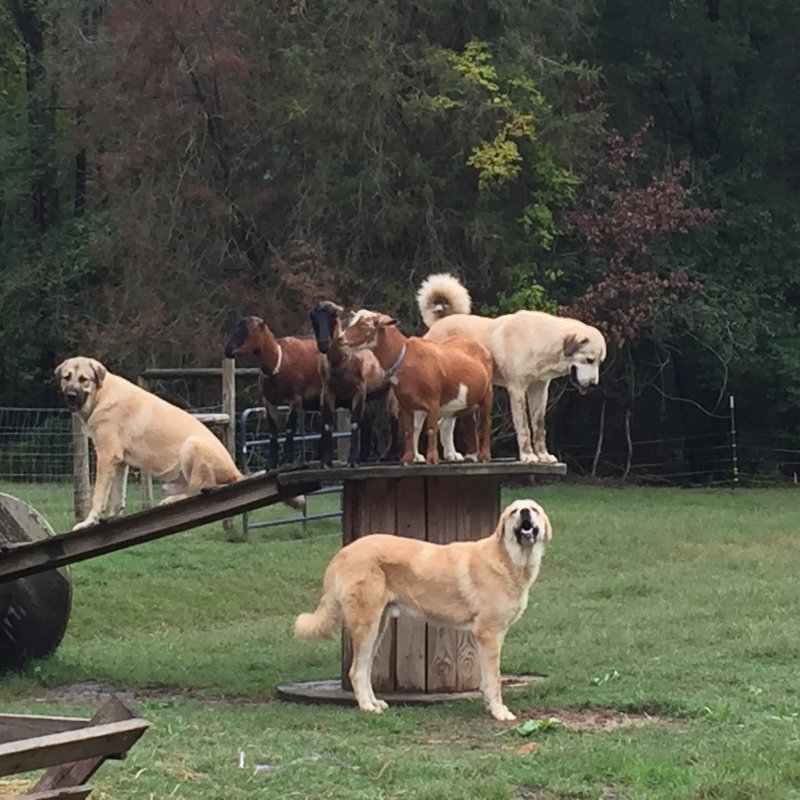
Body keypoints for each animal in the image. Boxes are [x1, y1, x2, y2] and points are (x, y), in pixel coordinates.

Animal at [55, 356, 242, 532]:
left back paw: (172, 500)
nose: (71, 395)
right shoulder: (119, 462)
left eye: (83, 379)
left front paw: (88, 521)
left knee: (199, 490)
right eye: (67, 377)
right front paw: (112, 517)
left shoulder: (106, 456)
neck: (102, 395)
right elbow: (117, 496)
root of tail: (236, 473)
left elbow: (99, 495)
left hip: (192, 444)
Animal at [294, 500, 552, 720]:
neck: (509, 560)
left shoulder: (493, 635)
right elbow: (494, 679)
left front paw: (492, 707)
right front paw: (499, 712)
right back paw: (367, 707)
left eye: (533, 509)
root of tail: (345, 551)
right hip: (367, 624)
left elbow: (489, 679)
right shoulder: (486, 634)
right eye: (514, 511)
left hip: (379, 626)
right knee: (356, 670)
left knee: (364, 669)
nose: (525, 513)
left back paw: (375, 702)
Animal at [340, 310, 494, 466]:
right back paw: (465, 455)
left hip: (487, 393)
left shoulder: (433, 400)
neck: (406, 356)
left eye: (366, 325)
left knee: (485, 423)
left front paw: (432, 458)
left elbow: (431, 429)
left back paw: (484, 456)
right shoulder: (406, 404)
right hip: (463, 401)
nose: (341, 338)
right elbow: (410, 431)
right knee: (462, 422)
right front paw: (408, 459)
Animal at [418, 274, 608, 462]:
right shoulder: (517, 389)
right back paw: (420, 457)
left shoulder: (539, 390)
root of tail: (440, 322)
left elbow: (539, 427)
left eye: (599, 362)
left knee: (445, 424)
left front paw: (543, 456)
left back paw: (451, 454)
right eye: (589, 360)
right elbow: (524, 427)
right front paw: (528, 456)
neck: (541, 340)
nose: (593, 384)